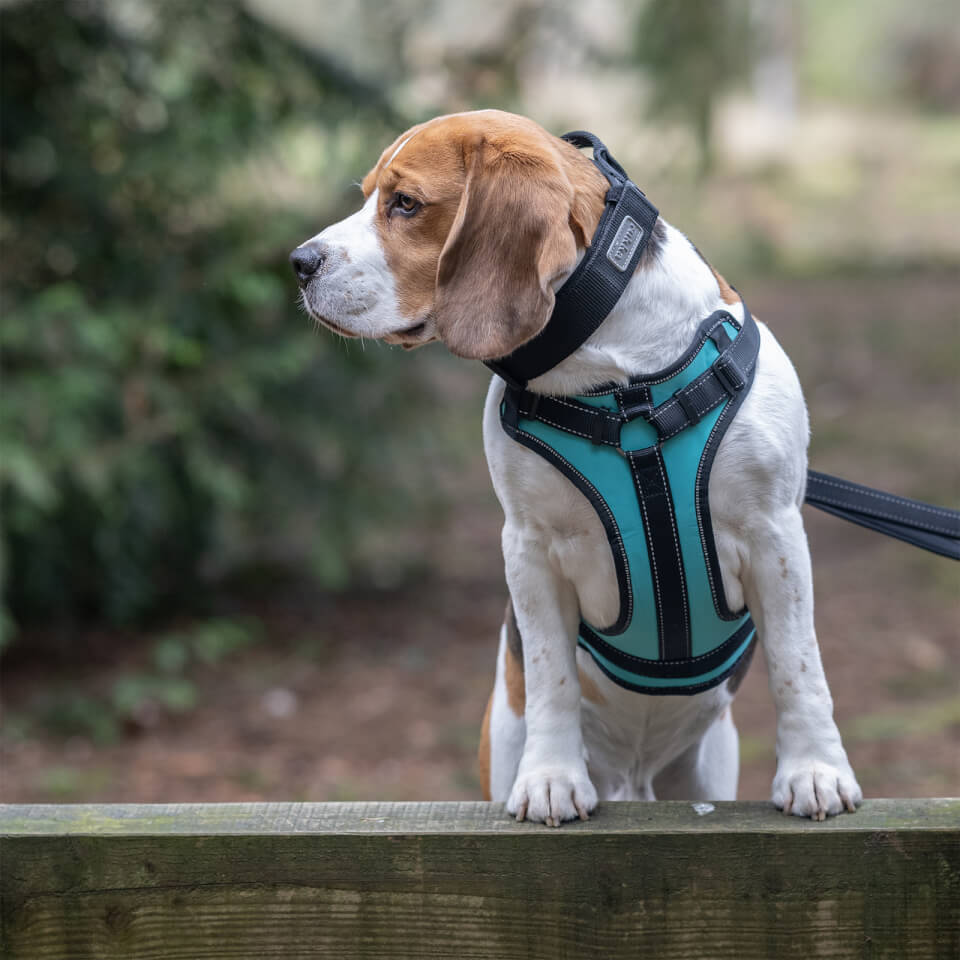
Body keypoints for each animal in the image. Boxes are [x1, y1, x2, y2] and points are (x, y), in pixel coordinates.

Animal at [288, 107, 860, 824]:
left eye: (405, 203)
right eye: (367, 195)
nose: (297, 263)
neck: (618, 379)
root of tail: (636, 777)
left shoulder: (774, 534)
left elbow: (798, 664)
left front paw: (815, 770)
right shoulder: (530, 548)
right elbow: (551, 674)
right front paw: (552, 778)